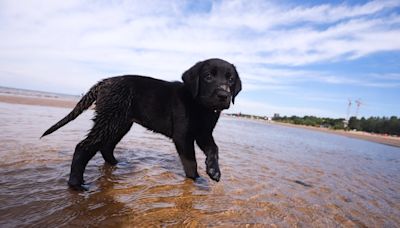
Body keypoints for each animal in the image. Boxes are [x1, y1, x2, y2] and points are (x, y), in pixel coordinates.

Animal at [41, 58, 241, 190]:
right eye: (208, 76)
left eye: (231, 79)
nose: (224, 96)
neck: (201, 106)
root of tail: (105, 82)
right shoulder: (183, 136)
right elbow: (191, 162)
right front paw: (196, 179)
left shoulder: (203, 133)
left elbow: (214, 148)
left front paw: (214, 170)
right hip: (110, 119)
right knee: (83, 147)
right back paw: (75, 184)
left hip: (119, 122)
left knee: (105, 146)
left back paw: (116, 164)